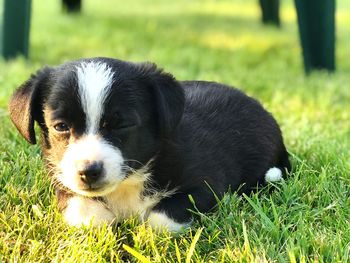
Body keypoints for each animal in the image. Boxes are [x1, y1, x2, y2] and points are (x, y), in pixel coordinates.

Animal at [9, 57, 292, 231]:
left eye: (121, 124)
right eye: (60, 127)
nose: (88, 172)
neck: (128, 182)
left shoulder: (205, 184)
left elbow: (159, 220)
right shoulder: (63, 180)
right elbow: (85, 212)